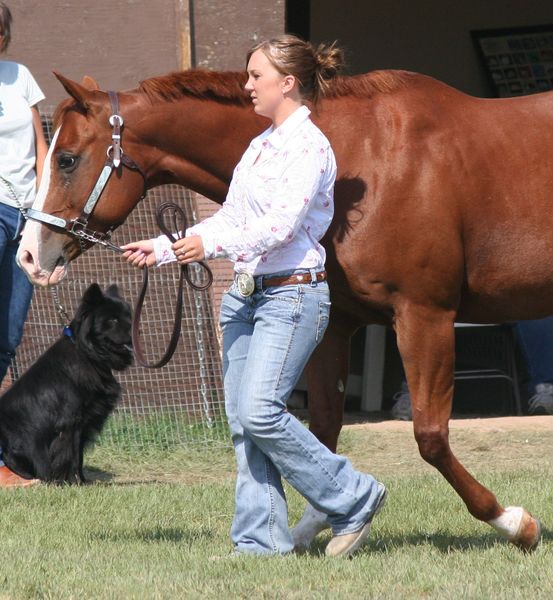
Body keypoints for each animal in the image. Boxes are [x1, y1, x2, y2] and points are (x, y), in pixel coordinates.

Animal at [0, 284, 133, 486]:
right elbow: (70, 455)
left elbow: (78, 456)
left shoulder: (84, 422)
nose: (134, 330)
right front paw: (70, 482)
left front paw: (82, 482)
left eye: (129, 317)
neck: (88, 354)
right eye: (113, 320)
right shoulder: (70, 422)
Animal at [16, 68, 544, 552]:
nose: (29, 256)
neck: (369, 158)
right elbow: (323, 431)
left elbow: (430, 435)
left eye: (66, 159)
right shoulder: (336, 326)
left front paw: (513, 522)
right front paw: (323, 526)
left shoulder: (424, 315)